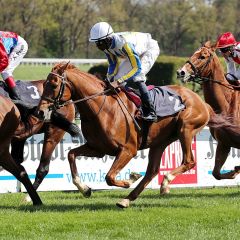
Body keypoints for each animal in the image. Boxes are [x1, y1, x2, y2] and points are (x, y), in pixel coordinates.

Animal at [35, 62, 232, 208]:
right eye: (43, 84)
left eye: (53, 85)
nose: (40, 112)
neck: (102, 108)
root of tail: (202, 102)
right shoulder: (97, 148)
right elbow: (71, 154)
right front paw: (85, 189)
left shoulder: (128, 150)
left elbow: (109, 177)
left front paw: (129, 179)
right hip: (159, 142)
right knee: (152, 171)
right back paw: (127, 199)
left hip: (186, 129)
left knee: (188, 161)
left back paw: (165, 183)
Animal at [175, 40, 240, 180]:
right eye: (194, 53)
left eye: (202, 56)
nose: (181, 72)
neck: (227, 105)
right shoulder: (224, 143)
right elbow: (216, 173)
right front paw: (234, 172)